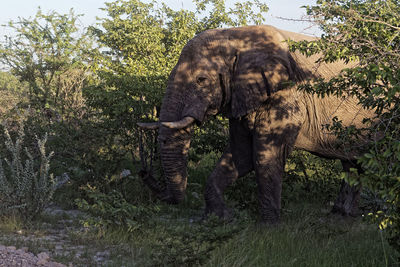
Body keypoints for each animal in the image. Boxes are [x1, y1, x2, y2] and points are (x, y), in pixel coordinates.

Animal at [138, 25, 376, 224]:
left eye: (201, 80)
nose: (144, 174)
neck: (236, 37)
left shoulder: (287, 94)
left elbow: (264, 156)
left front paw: (269, 227)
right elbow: (240, 155)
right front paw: (218, 218)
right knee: (352, 163)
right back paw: (342, 215)